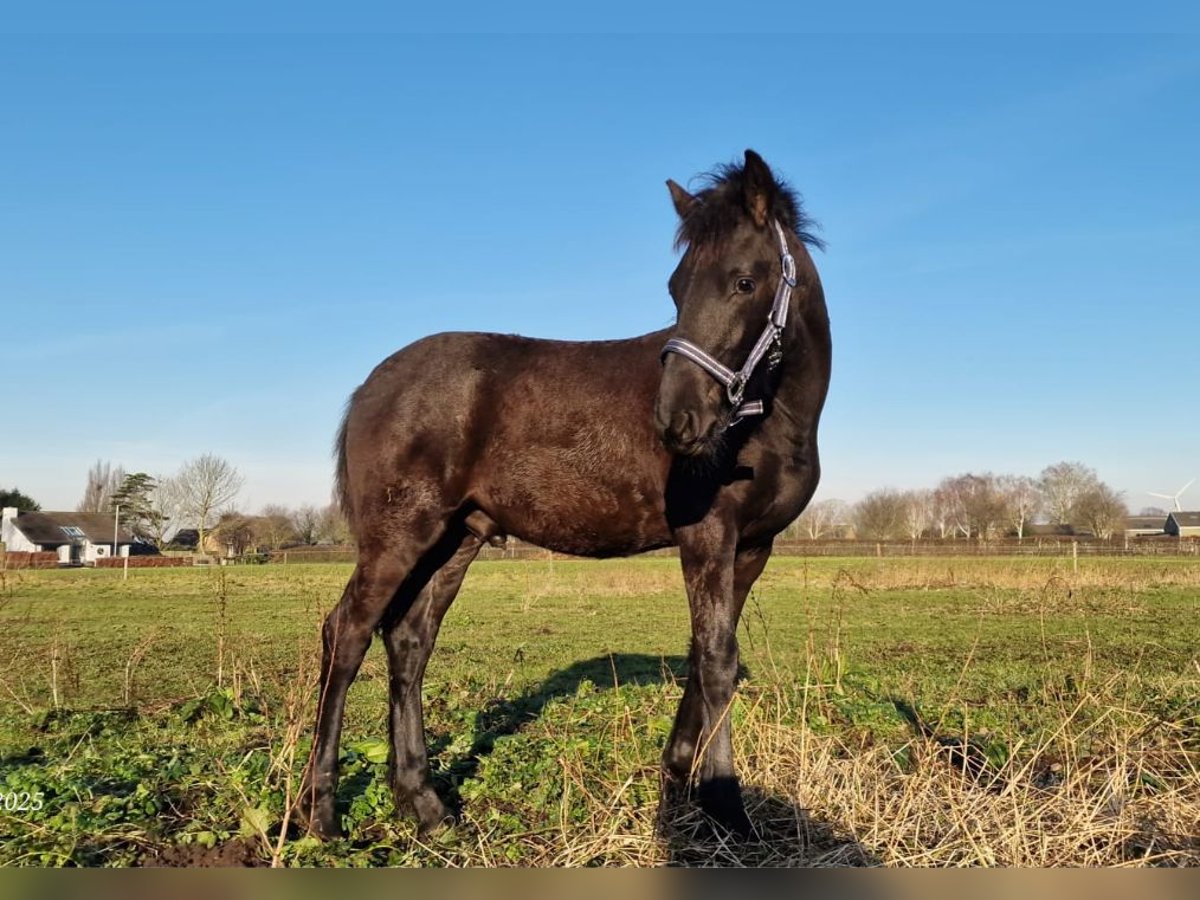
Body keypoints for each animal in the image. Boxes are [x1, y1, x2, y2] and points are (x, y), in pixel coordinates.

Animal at [297, 148, 835, 840]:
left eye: (744, 282)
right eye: (676, 288)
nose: (675, 420)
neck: (769, 420)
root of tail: (371, 384)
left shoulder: (753, 548)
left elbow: (705, 655)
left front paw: (678, 780)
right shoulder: (708, 537)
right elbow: (717, 659)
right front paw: (726, 805)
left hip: (454, 538)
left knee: (409, 642)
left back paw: (424, 803)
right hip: (398, 537)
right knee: (347, 635)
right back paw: (319, 811)